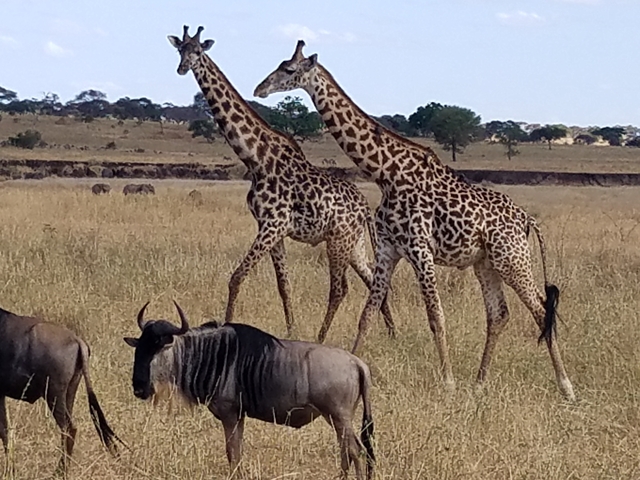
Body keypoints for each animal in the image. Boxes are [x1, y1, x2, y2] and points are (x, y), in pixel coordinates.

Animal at [167, 26, 395, 342]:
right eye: (180, 50)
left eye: (198, 51)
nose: (181, 68)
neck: (256, 158)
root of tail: (364, 208)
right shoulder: (271, 228)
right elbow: (283, 284)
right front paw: (290, 328)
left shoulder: (273, 224)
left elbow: (236, 276)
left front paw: (229, 326)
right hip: (355, 244)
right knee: (373, 278)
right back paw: (392, 332)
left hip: (339, 240)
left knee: (341, 288)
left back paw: (322, 338)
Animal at [253, 40, 576, 401]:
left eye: (289, 69)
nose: (259, 88)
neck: (386, 174)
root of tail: (527, 220)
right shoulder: (388, 250)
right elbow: (367, 314)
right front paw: (354, 369)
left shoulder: (420, 249)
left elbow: (436, 316)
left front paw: (448, 382)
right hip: (486, 263)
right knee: (499, 315)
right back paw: (480, 382)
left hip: (513, 259)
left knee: (540, 309)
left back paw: (566, 388)